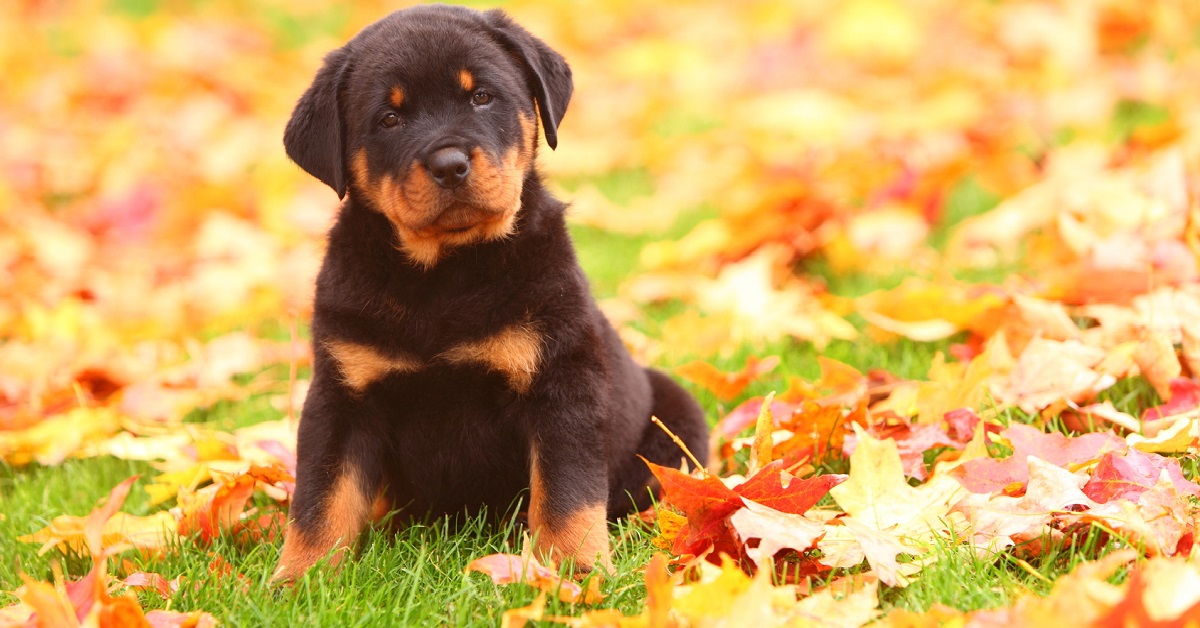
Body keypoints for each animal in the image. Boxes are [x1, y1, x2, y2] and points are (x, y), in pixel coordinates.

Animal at [270, 3, 710, 585]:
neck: (445, 275)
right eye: (389, 119)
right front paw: (298, 581)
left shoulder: (559, 381)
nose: (450, 164)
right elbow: (322, 499)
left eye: (481, 96)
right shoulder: (343, 393)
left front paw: (572, 573)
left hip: (677, 415)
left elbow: (566, 493)